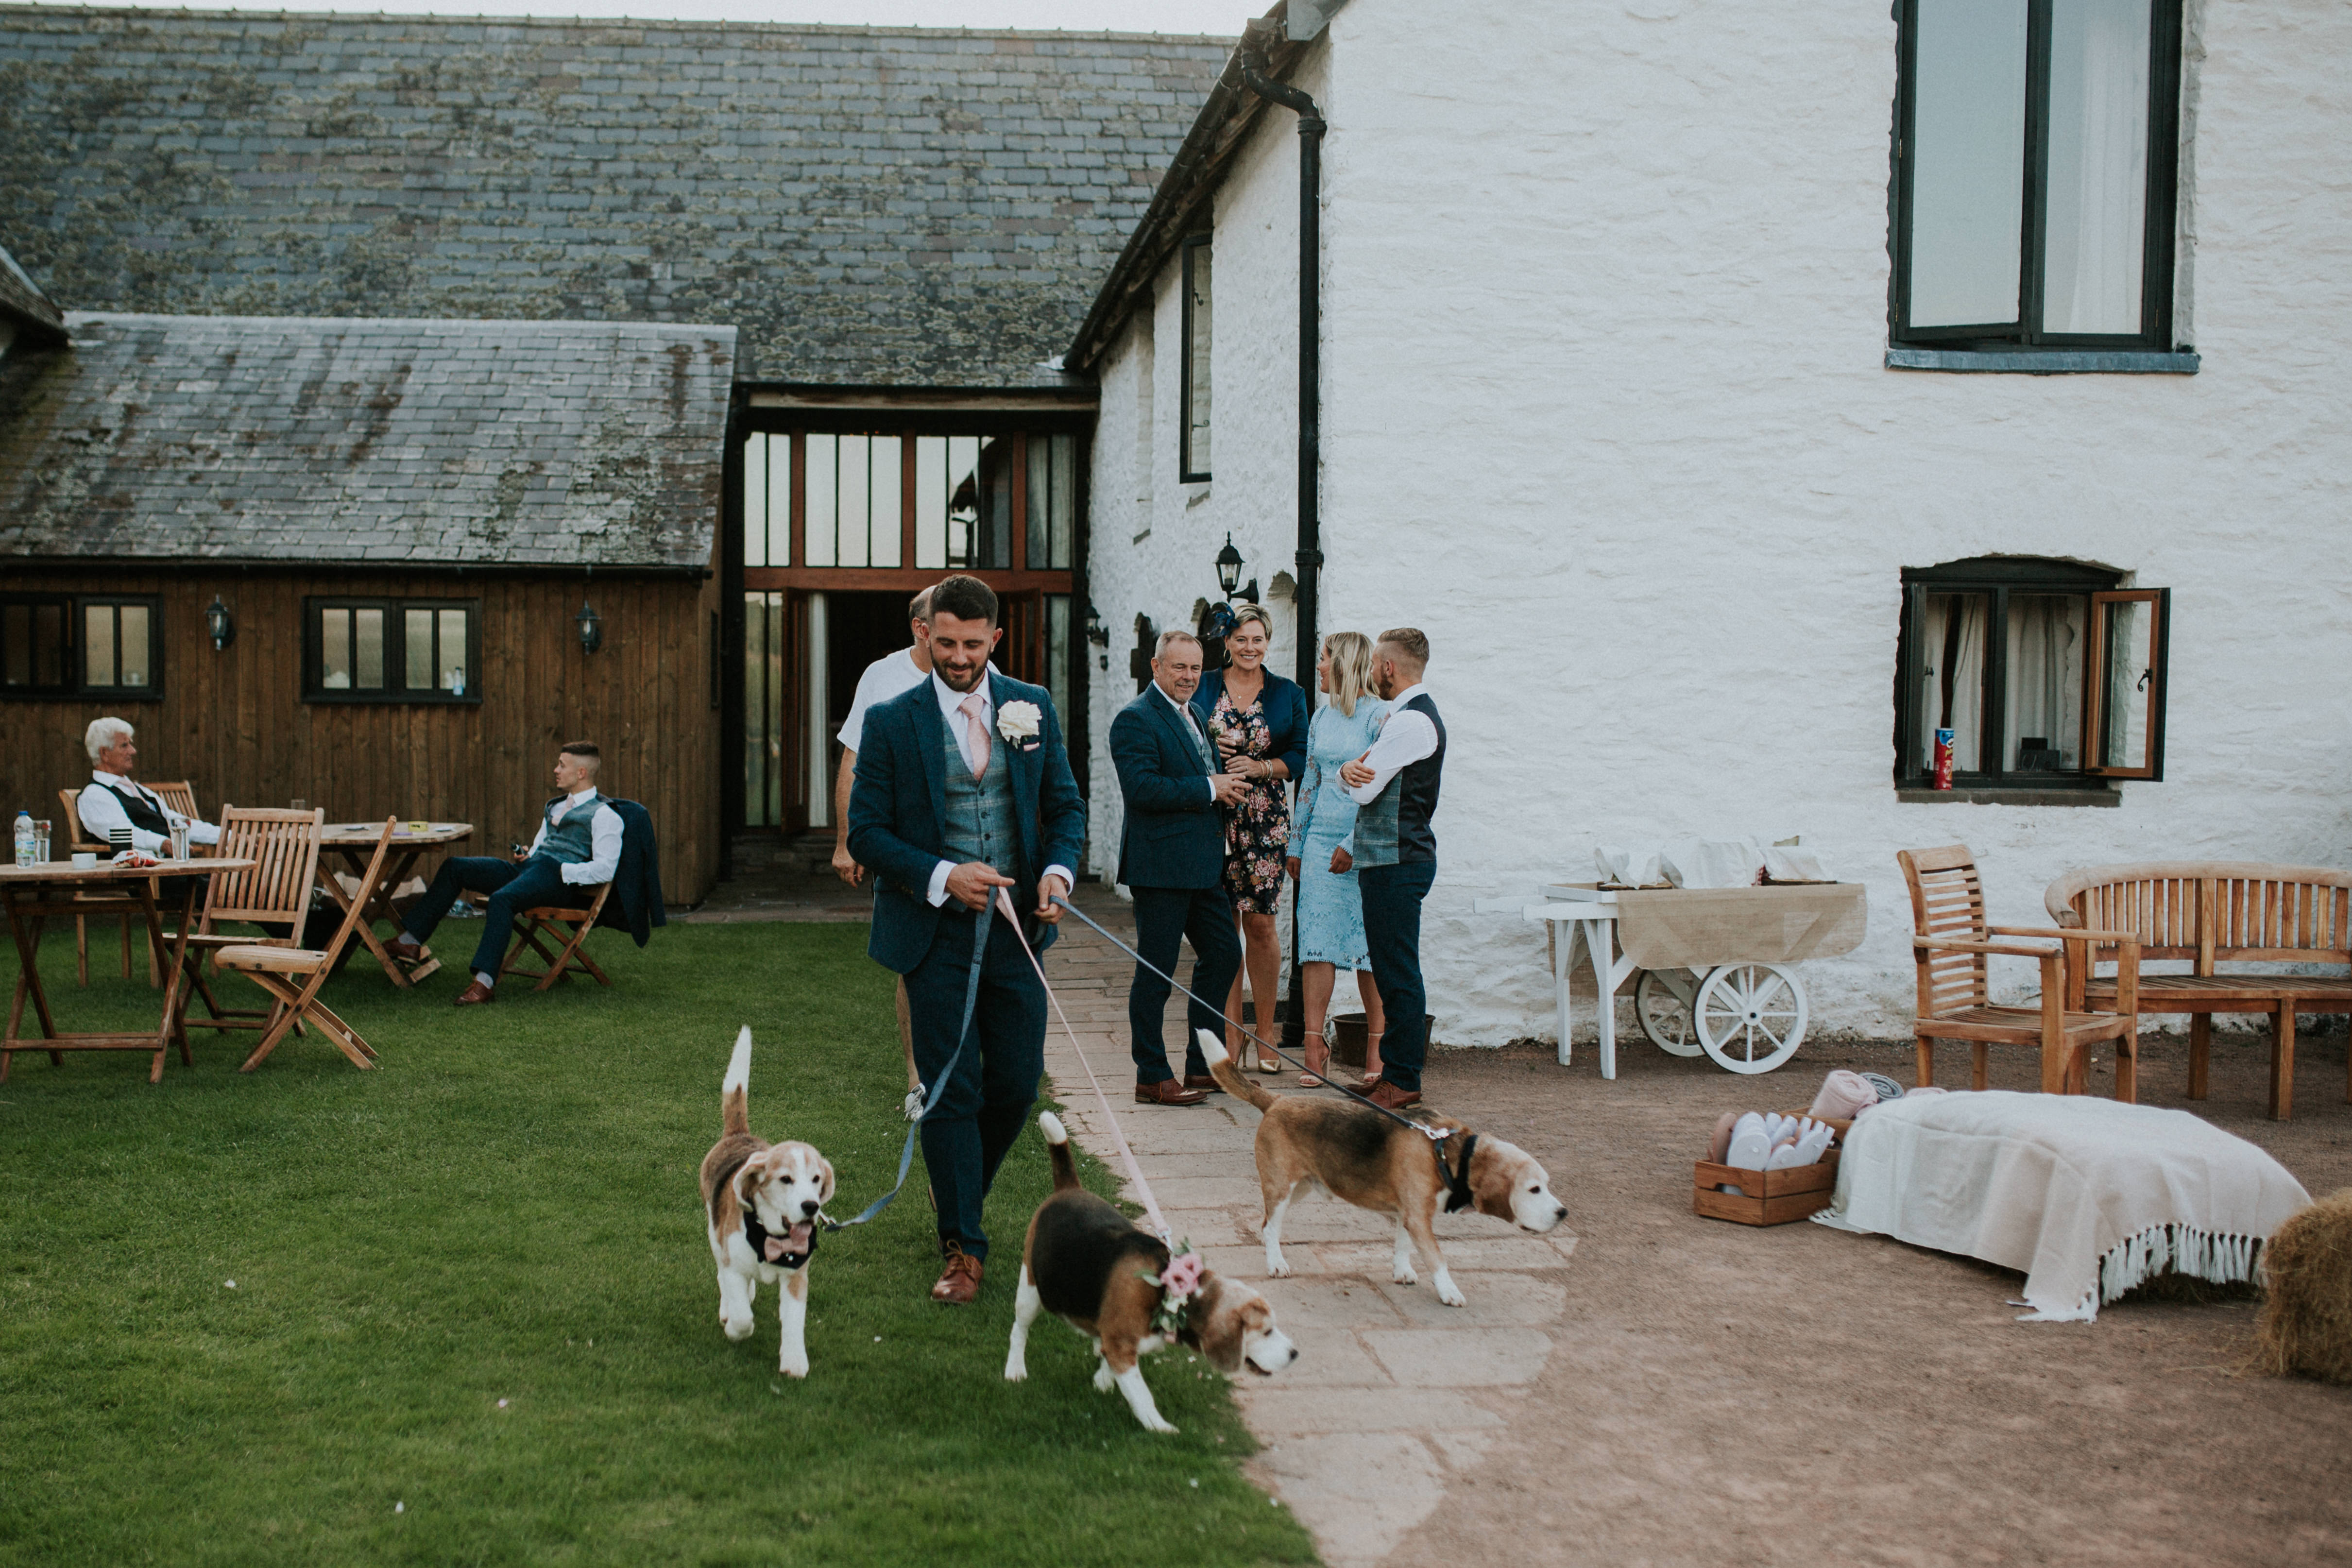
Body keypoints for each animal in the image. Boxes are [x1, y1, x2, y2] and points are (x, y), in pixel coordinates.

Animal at [696, 1034, 837, 1382]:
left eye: (816, 1179)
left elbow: (794, 1323)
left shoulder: (797, 1277)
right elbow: (742, 1315)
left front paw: (795, 1361)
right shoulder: (732, 1265)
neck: (772, 1237)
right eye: (786, 1179)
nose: (811, 1206)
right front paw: (735, 1328)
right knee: (723, 1276)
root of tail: (739, 1134)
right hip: (714, 1233)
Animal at [1006, 1109, 1308, 1429]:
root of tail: (1069, 1189)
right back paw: (1015, 1370)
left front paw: (1102, 1380)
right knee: (1019, 1330)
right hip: (1030, 1290)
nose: (1295, 1354)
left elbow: (1111, 1364)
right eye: (1266, 1331)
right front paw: (1160, 1428)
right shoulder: (1122, 1349)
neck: (1169, 1292)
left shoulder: (1117, 1344)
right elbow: (1141, 1394)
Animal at [1204, 1029, 1571, 1316]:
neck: (1447, 1153)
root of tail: (1278, 1100)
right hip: (1282, 1187)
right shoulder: (1419, 1218)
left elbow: (1402, 1245)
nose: (1563, 1214)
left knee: (1266, 1224)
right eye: (1534, 1190)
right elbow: (1437, 1259)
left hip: (1301, 1187)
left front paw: (1402, 1271)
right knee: (1270, 1228)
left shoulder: (1408, 1214)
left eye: (1547, 1186)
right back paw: (1276, 1265)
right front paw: (1449, 1291)